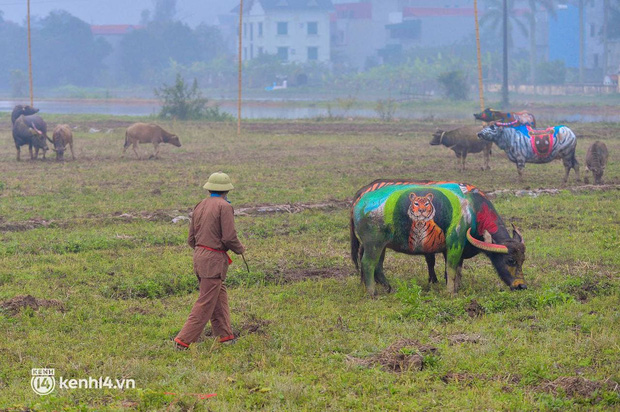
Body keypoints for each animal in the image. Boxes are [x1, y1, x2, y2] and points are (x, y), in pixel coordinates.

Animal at [352, 180, 524, 296]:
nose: (521, 286)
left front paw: (456, 287)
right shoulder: (454, 245)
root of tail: (359, 202)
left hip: (380, 245)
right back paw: (372, 292)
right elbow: (451, 269)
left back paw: (385, 287)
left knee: (377, 265)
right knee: (367, 263)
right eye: (510, 260)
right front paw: (450, 292)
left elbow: (457, 270)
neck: (474, 212)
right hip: (373, 244)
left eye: (523, 260)